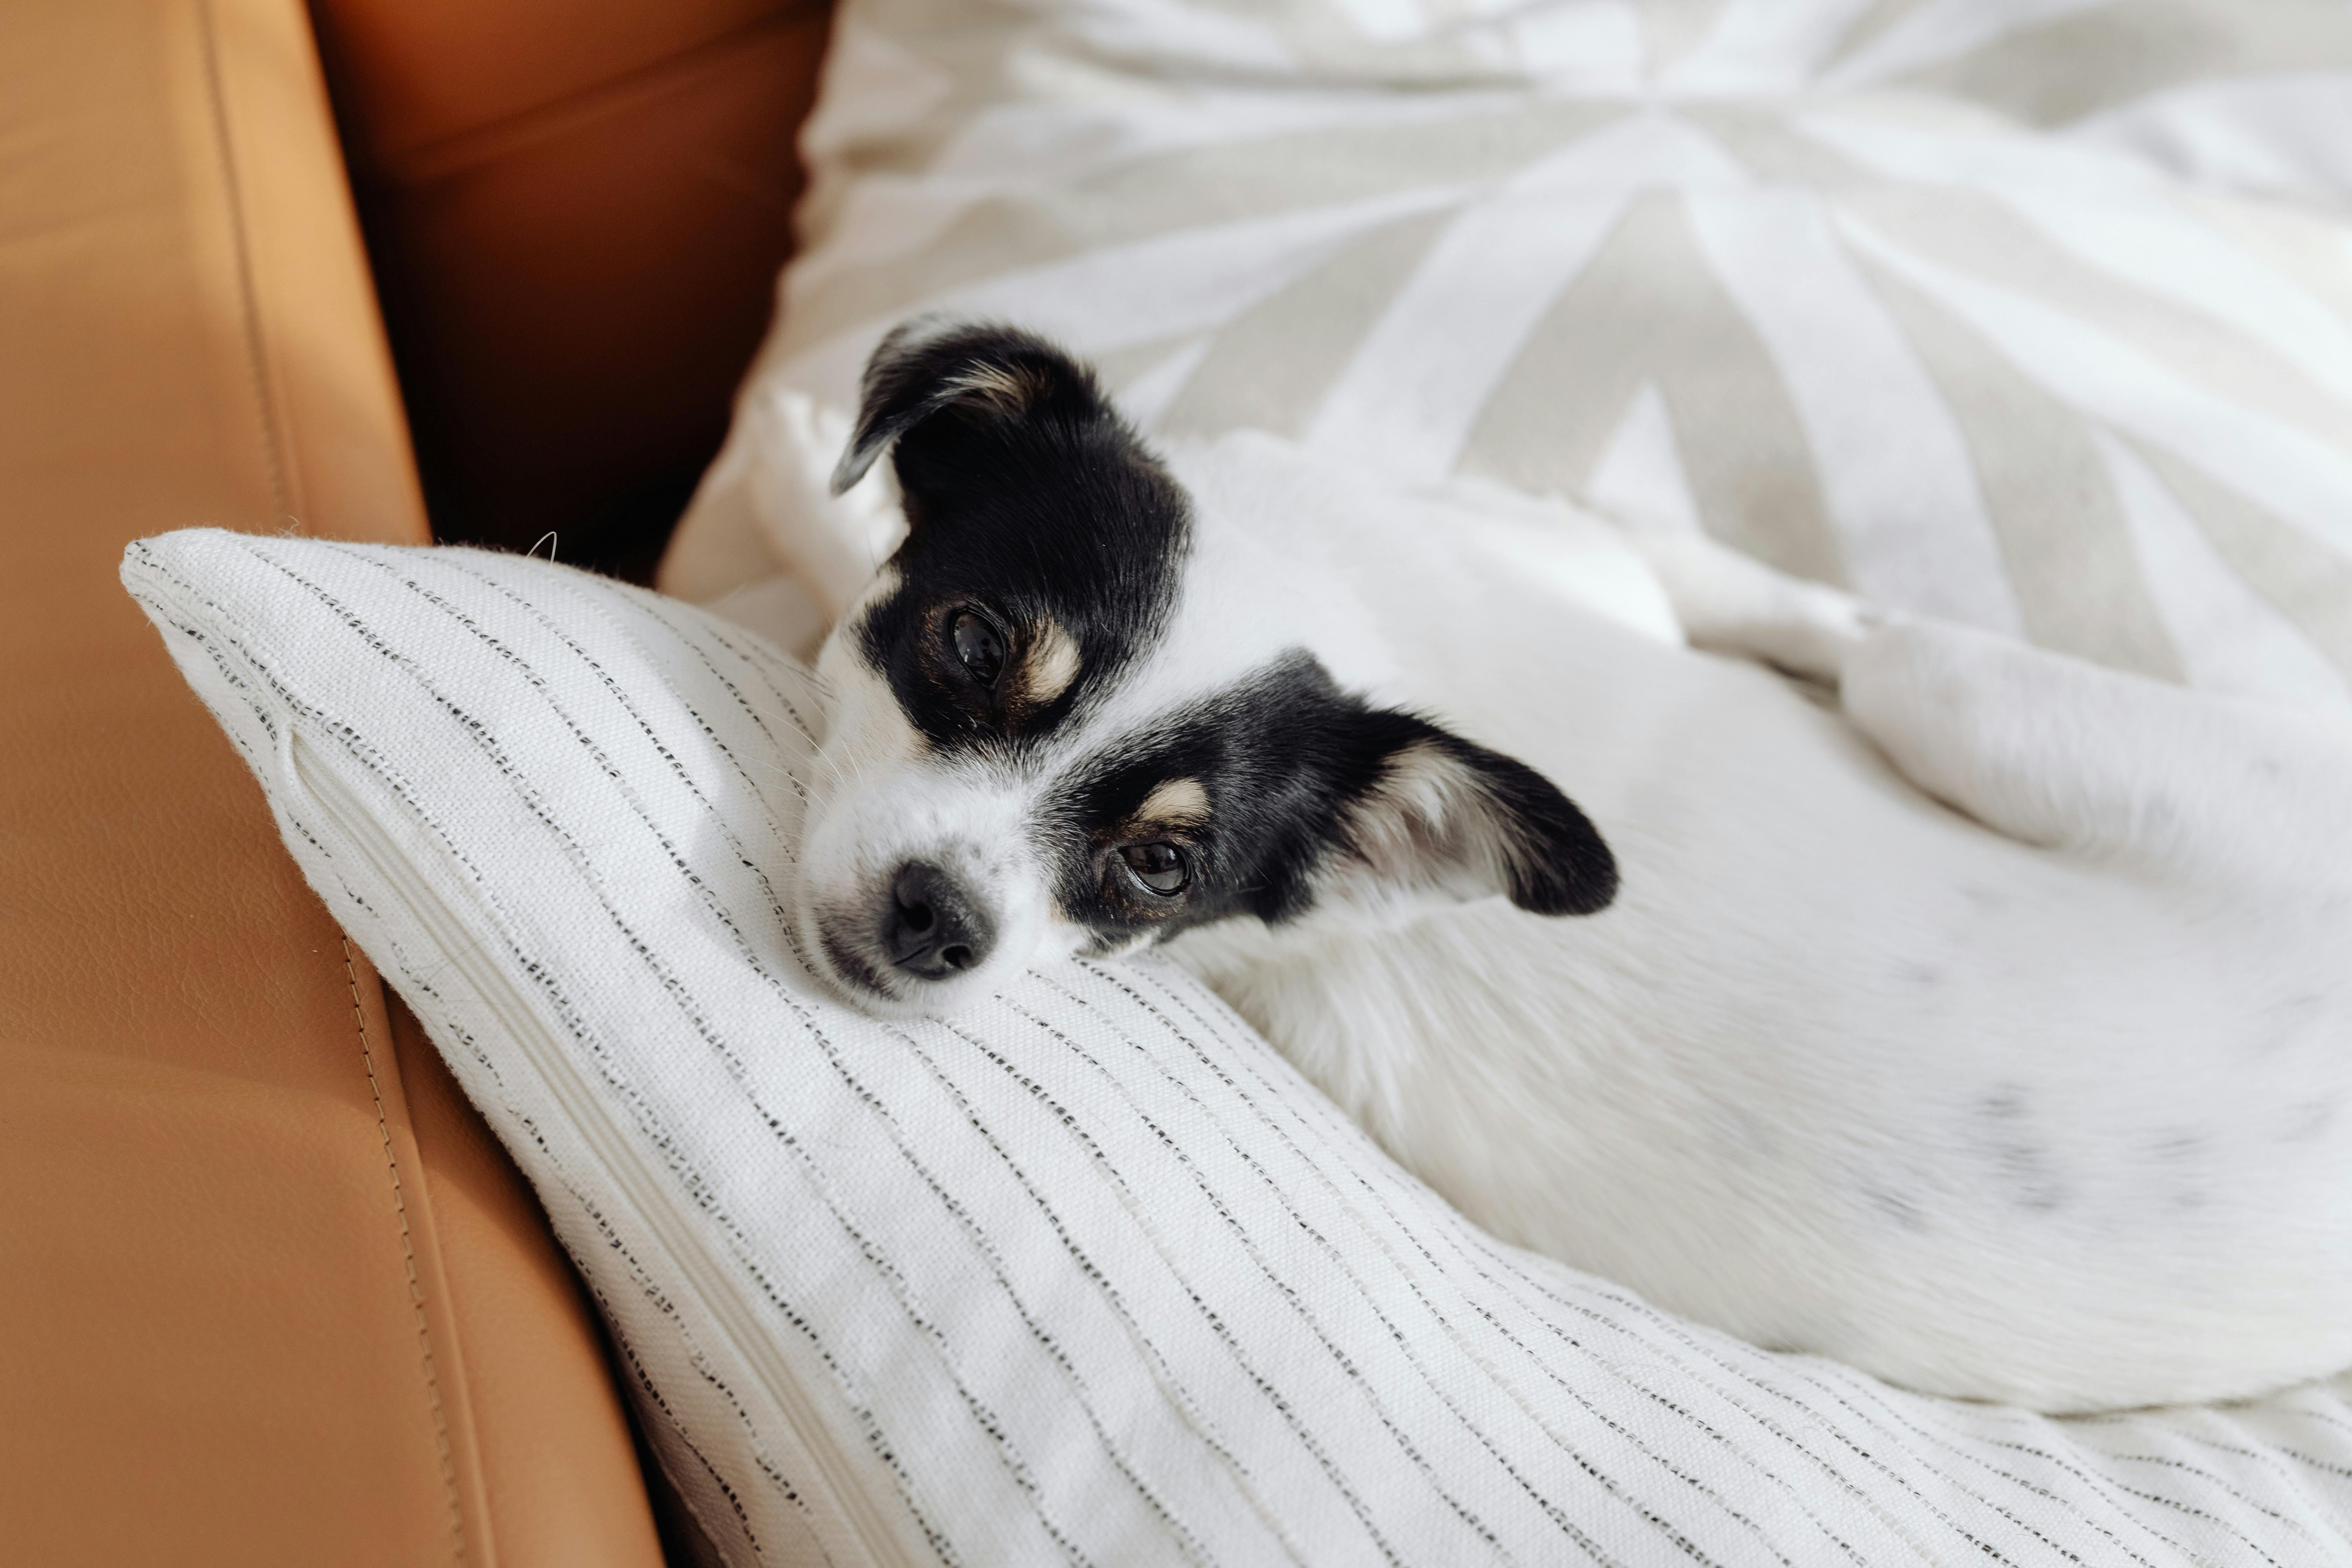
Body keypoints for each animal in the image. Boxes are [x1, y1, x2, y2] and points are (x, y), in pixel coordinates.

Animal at [781, 315, 2352, 1410]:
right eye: (971, 642)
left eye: (1164, 866)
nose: (940, 921)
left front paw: (794, 483)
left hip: (1969, 701)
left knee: (1867, 639)